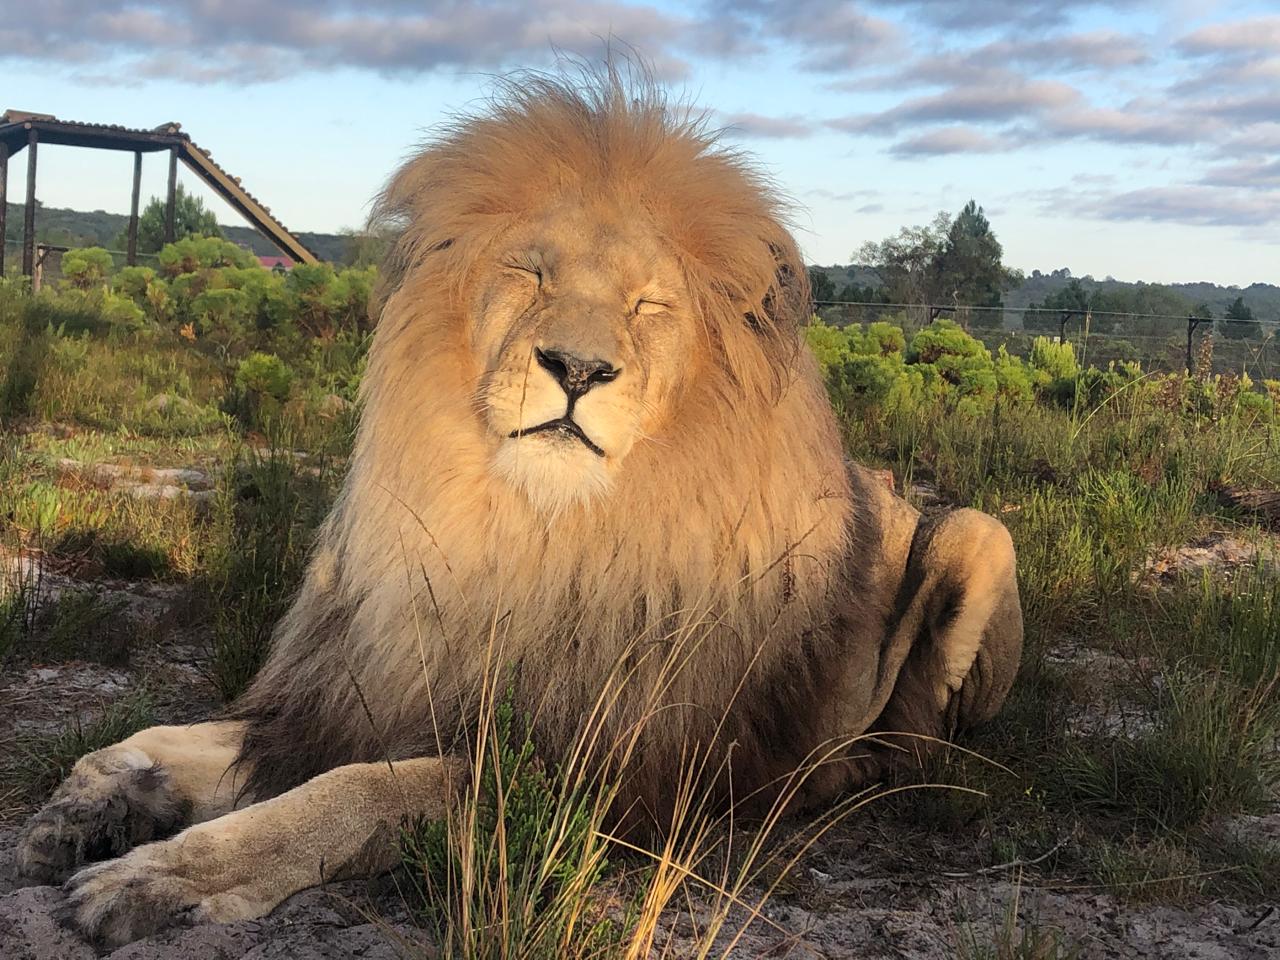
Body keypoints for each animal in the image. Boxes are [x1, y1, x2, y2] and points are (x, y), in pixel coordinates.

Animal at [15, 69, 1022, 947]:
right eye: (532, 273)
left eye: (649, 305)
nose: (577, 367)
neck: (525, 530)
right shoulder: (346, 698)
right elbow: (145, 737)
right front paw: (86, 809)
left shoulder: (594, 775)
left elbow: (348, 796)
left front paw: (160, 877)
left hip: (979, 535)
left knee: (914, 750)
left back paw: (823, 779)